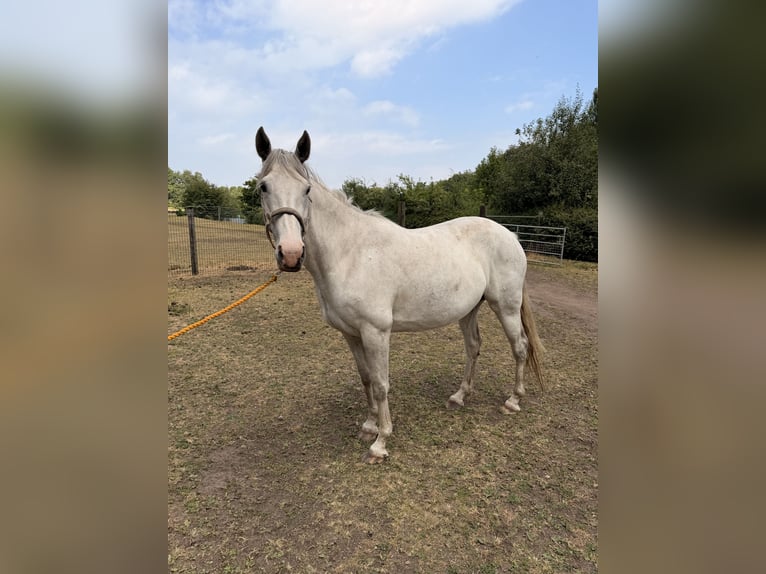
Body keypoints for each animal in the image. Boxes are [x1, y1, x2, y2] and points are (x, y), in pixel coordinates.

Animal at [255, 127, 545, 463]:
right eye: (263, 187)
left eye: (306, 190)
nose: (290, 254)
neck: (350, 253)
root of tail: (510, 234)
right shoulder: (351, 333)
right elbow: (366, 377)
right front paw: (369, 425)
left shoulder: (376, 332)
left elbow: (381, 384)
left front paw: (380, 442)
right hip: (469, 310)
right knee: (473, 347)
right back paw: (459, 397)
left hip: (506, 307)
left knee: (520, 347)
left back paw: (513, 400)